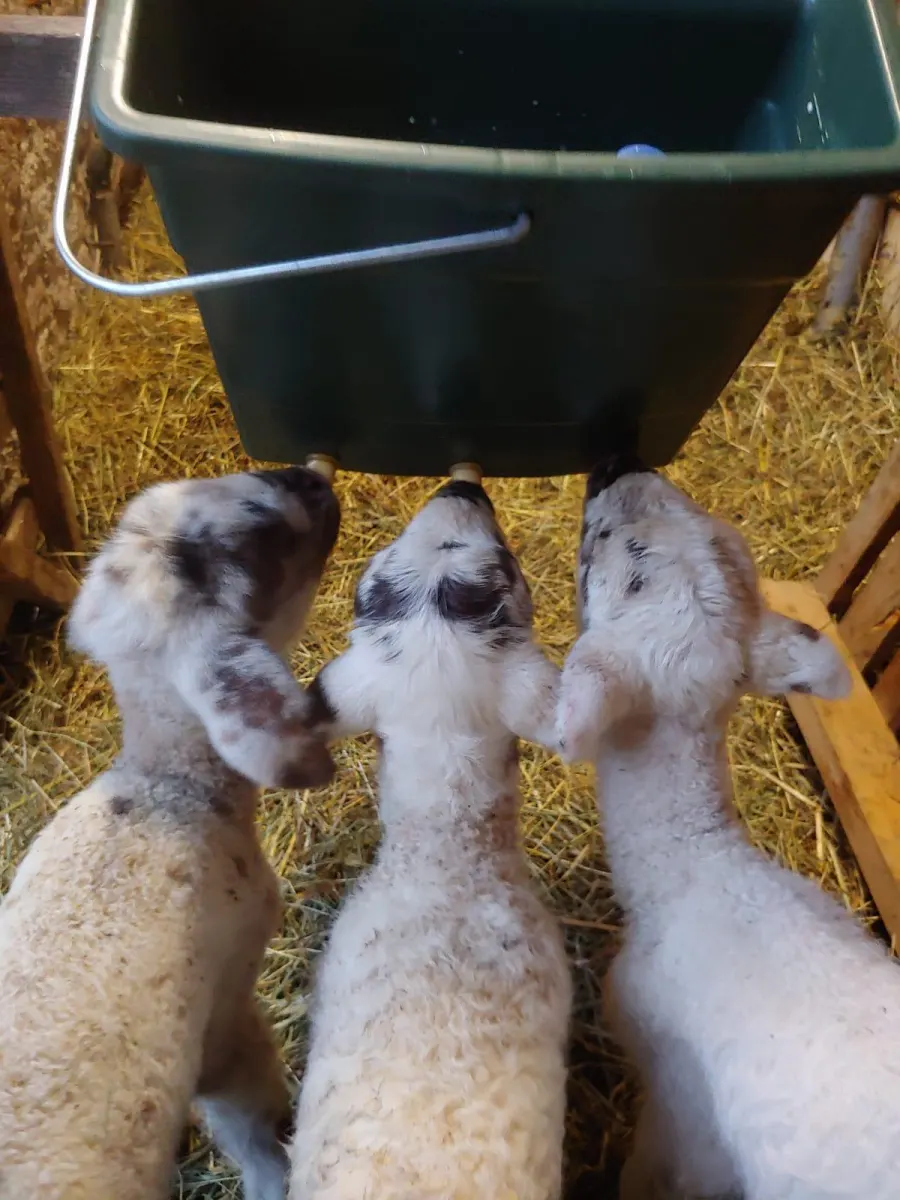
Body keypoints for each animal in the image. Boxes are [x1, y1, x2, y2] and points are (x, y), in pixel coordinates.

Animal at [0, 466, 340, 1200]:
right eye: (261, 537)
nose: (309, 475)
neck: (167, 788)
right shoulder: (228, 1012)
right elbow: (250, 1124)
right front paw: (275, 1178)